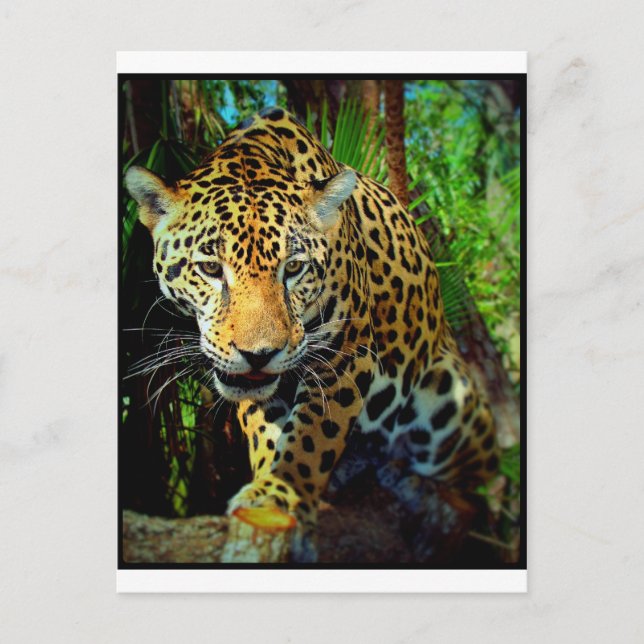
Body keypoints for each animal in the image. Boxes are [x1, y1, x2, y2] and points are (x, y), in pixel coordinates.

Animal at [125, 106, 498, 563]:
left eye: (294, 268)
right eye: (211, 268)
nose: (258, 354)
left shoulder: (344, 355)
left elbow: (313, 438)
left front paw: (281, 494)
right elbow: (268, 434)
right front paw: (268, 490)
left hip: (449, 396)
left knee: (479, 482)